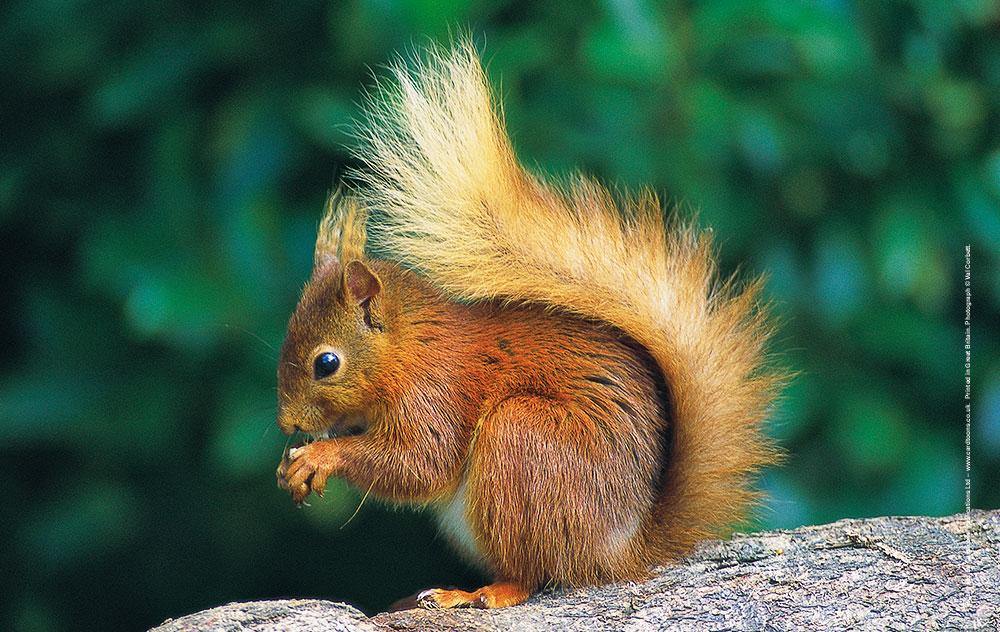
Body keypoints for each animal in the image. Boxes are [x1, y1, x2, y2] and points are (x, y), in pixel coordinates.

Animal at [275, 42, 784, 610]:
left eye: (326, 363)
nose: (287, 424)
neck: (407, 348)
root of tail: (619, 551)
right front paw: (291, 464)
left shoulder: (434, 392)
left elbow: (420, 462)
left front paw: (320, 456)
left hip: (522, 441)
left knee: (534, 573)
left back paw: (479, 593)